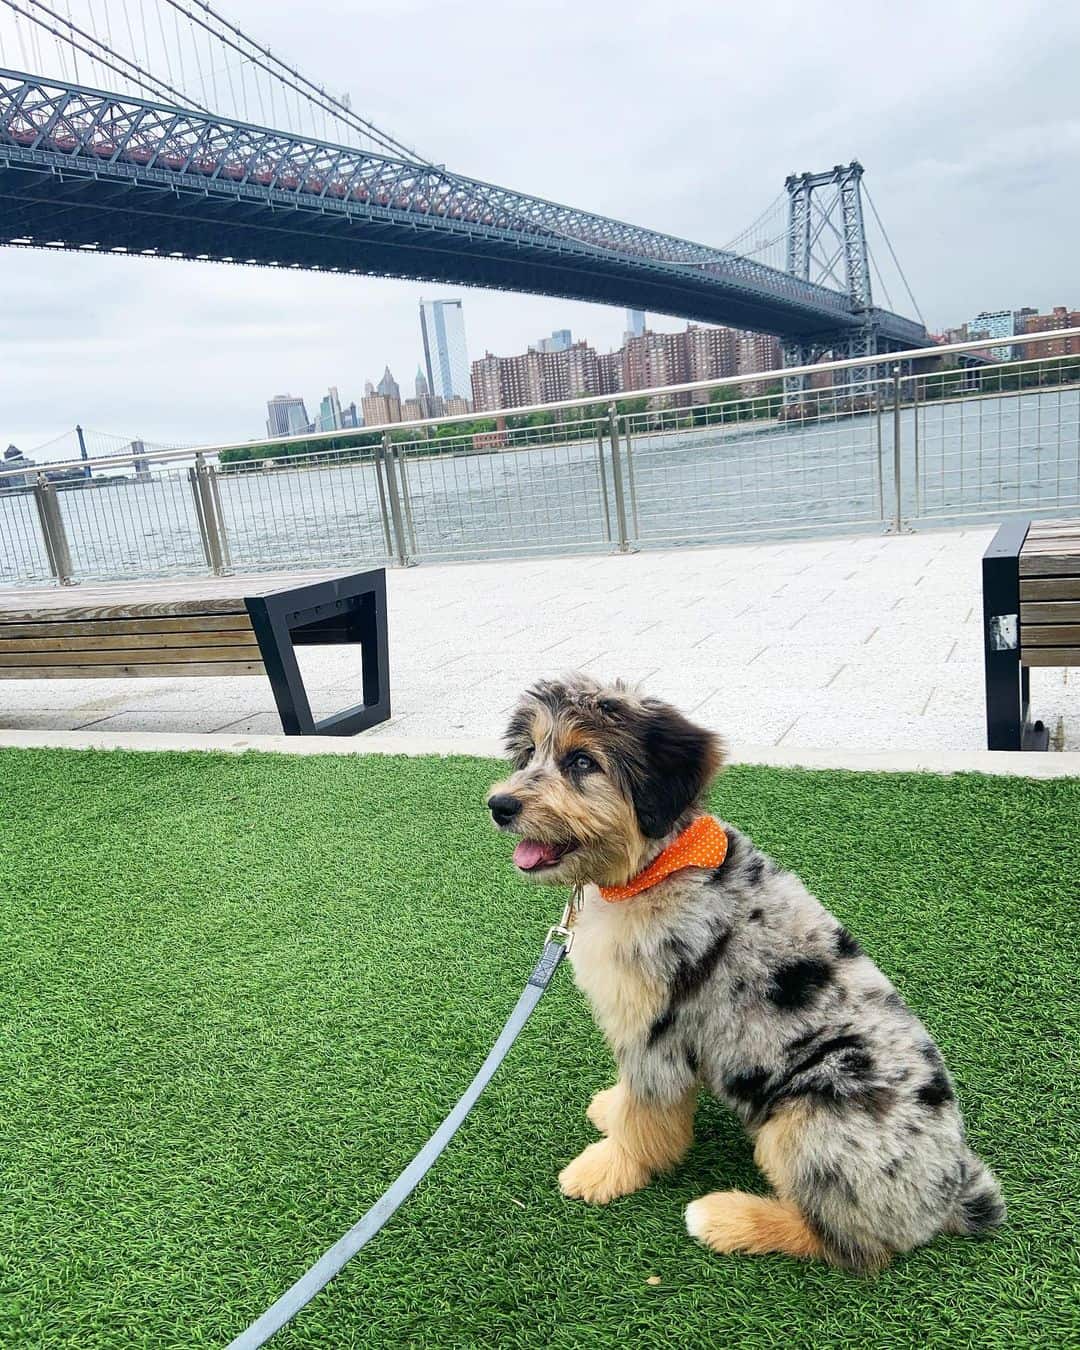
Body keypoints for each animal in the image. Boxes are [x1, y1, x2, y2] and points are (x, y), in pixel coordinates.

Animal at [486, 680, 1004, 1269]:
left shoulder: (658, 1032)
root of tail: (952, 1189)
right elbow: (632, 1100)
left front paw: (608, 1168)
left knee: (848, 1242)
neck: (656, 869)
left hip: (809, 1120)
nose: (499, 805)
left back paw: (725, 1218)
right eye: (529, 753)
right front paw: (611, 1110)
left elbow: (646, 1117)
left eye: (581, 761)